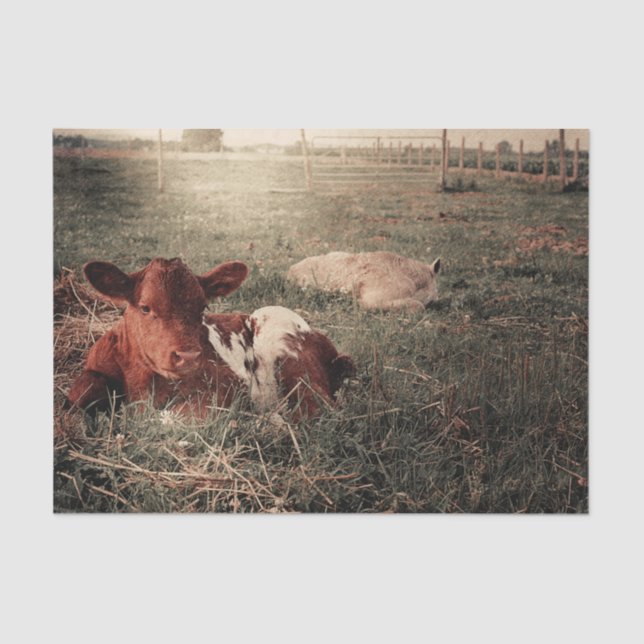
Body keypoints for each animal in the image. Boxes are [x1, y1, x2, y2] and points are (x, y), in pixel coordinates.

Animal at [66, 257, 355, 420]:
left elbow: (175, 418)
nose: (188, 356)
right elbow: (76, 395)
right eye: (145, 308)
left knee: (316, 409)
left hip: (289, 354)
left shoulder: (225, 385)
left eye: (202, 307)